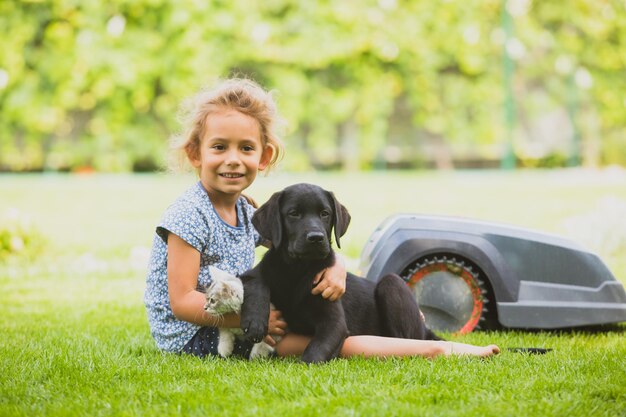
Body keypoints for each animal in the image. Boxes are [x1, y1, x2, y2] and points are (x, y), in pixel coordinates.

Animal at [239, 184, 438, 362]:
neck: (298, 270)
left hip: (392, 283)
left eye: (325, 214)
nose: (316, 238)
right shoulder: (257, 272)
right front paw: (255, 322)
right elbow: (256, 281)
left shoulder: (335, 323)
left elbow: (316, 350)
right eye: (293, 213)